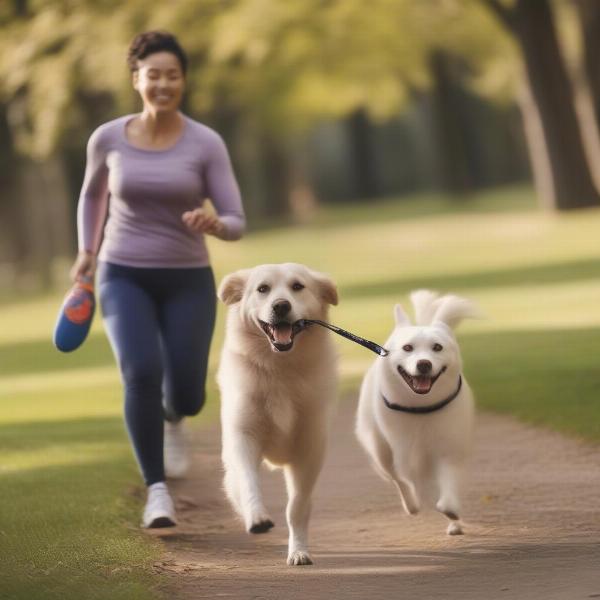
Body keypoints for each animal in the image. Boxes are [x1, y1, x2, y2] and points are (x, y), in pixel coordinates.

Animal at [217, 262, 340, 564]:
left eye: (298, 286)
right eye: (263, 289)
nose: (281, 305)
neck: (279, 370)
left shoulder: (309, 449)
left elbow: (297, 506)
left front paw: (298, 551)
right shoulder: (243, 436)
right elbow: (248, 481)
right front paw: (257, 517)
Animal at [356, 290, 478, 536]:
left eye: (437, 347)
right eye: (408, 348)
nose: (423, 364)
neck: (422, 408)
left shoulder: (450, 447)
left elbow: (448, 482)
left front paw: (451, 510)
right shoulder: (406, 453)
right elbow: (411, 481)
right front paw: (422, 501)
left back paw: (453, 523)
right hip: (380, 449)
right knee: (397, 479)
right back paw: (411, 505)